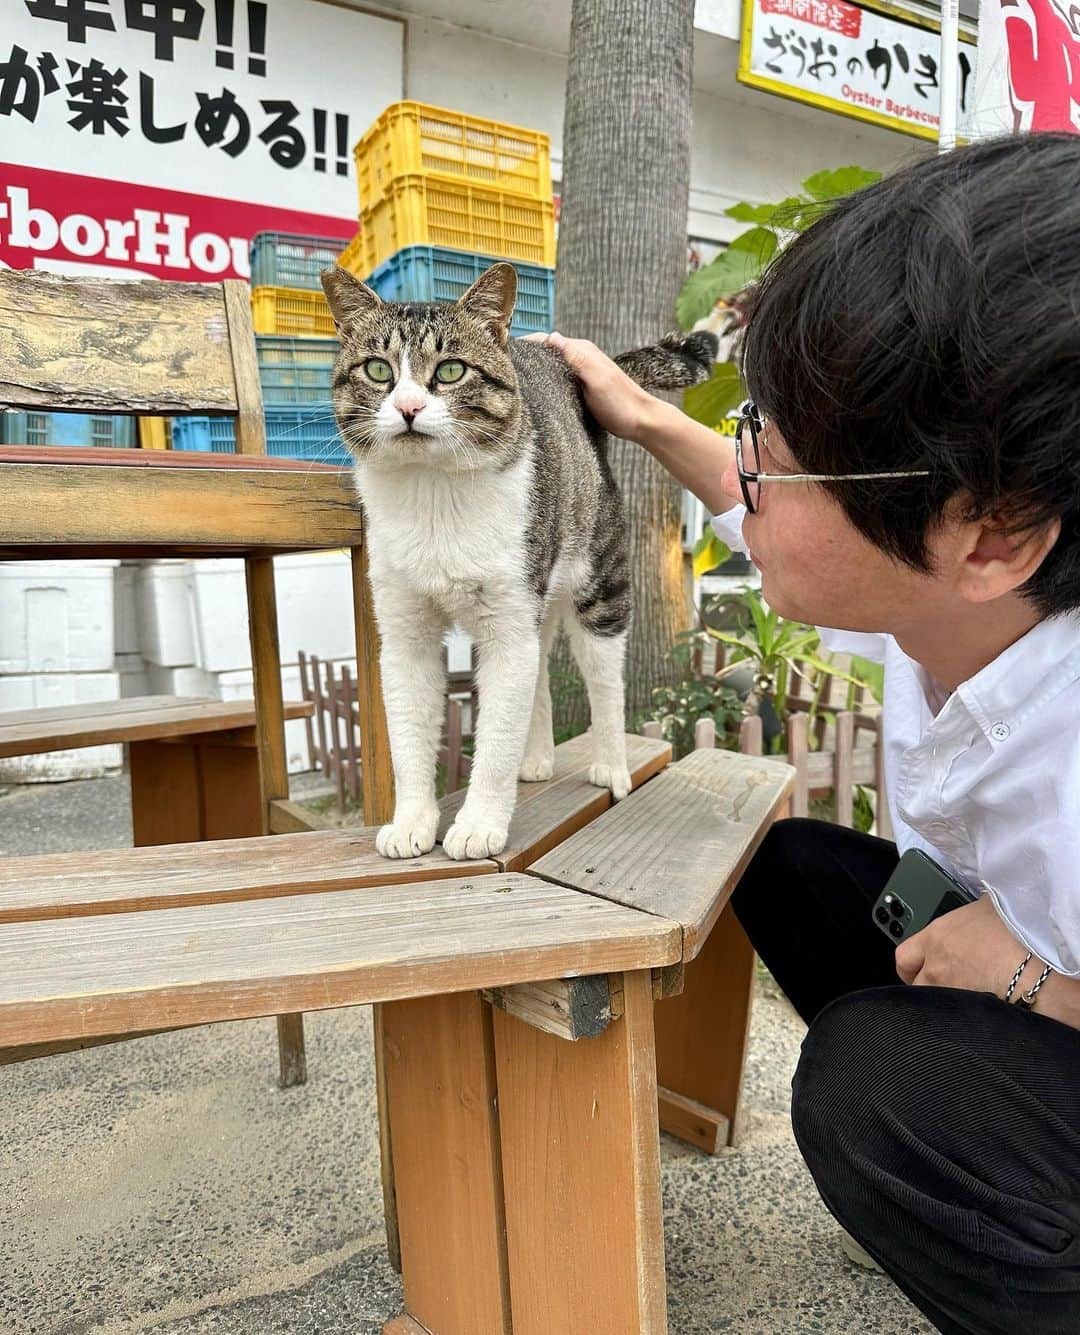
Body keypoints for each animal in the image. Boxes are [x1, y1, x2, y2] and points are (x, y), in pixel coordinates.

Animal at [320, 265, 715, 859]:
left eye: (451, 371)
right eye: (377, 369)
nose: (408, 408)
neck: (434, 494)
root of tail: (565, 368)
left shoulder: (508, 618)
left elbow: (498, 731)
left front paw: (479, 824)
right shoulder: (406, 627)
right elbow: (410, 735)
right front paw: (412, 822)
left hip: (596, 579)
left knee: (604, 678)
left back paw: (611, 765)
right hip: (539, 589)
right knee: (543, 664)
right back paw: (536, 758)